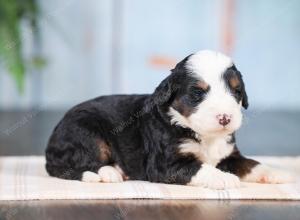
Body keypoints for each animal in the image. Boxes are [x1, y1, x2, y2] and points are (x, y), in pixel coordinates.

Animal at [45, 49, 294, 189]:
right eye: (197, 93)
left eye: (237, 91)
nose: (225, 117)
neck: (203, 134)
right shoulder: (165, 164)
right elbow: (200, 168)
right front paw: (224, 178)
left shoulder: (228, 154)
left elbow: (252, 164)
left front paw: (277, 173)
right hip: (86, 131)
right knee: (72, 166)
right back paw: (109, 172)